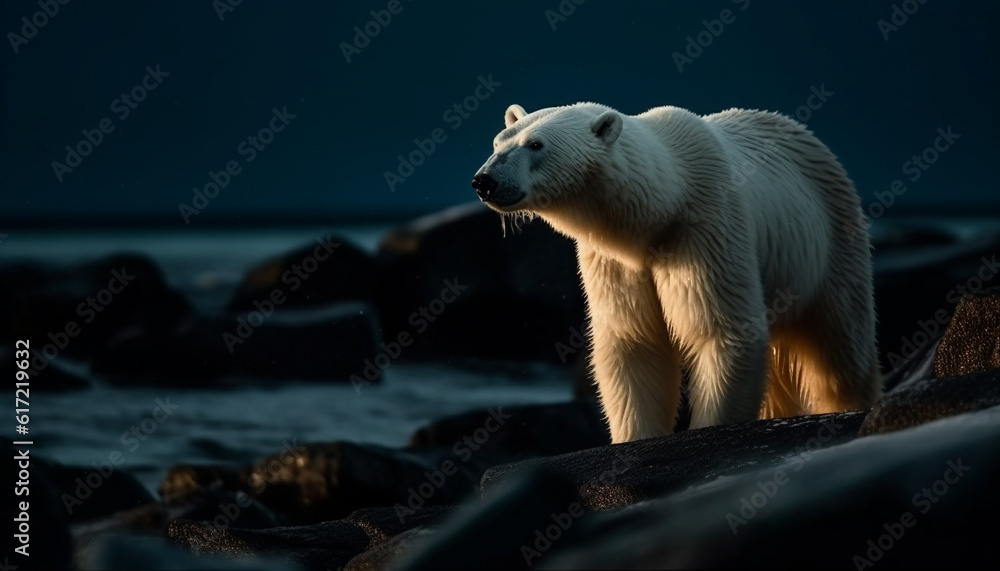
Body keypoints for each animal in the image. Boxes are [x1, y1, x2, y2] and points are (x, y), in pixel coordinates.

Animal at [470, 103, 884, 442]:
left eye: (535, 144)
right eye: (498, 142)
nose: (484, 181)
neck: (663, 205)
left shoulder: (705, 228)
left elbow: (720, 331)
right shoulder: (616, 262)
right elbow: (634, 342)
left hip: (833, 240)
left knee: (840, 350)